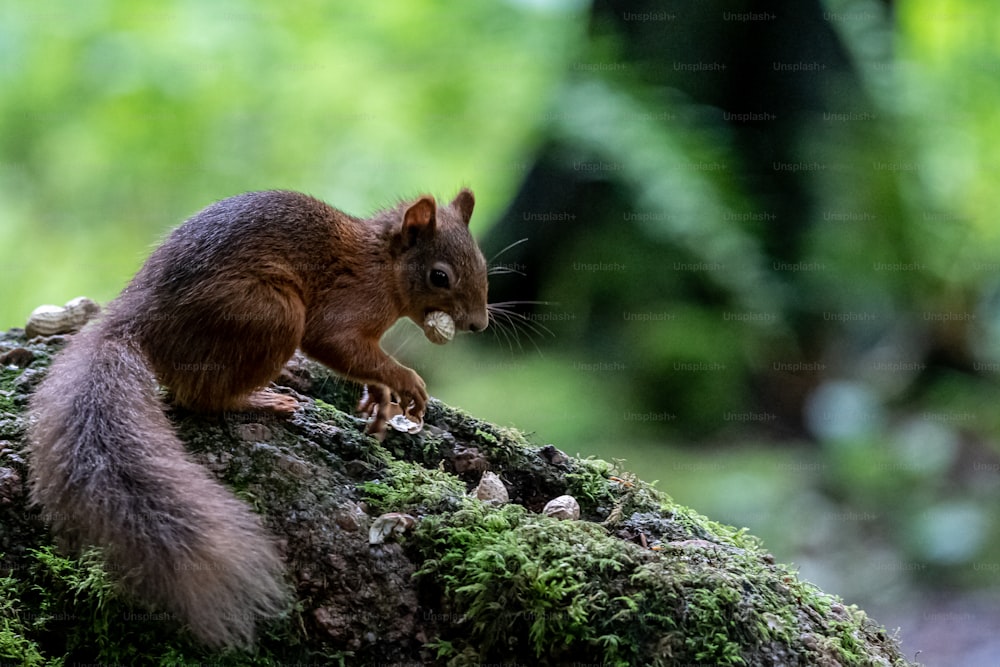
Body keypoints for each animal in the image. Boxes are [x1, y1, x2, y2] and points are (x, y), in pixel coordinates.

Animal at [27, 190, 488, 648]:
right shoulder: (345, 306)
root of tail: (139, 323)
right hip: (271, 314)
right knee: (200, 397)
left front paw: (379, 400)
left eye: (482, 264)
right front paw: (406, 381)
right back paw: (259, 401)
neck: (383, 264)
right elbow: (337, 343)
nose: (478, 324)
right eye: (439, 276)